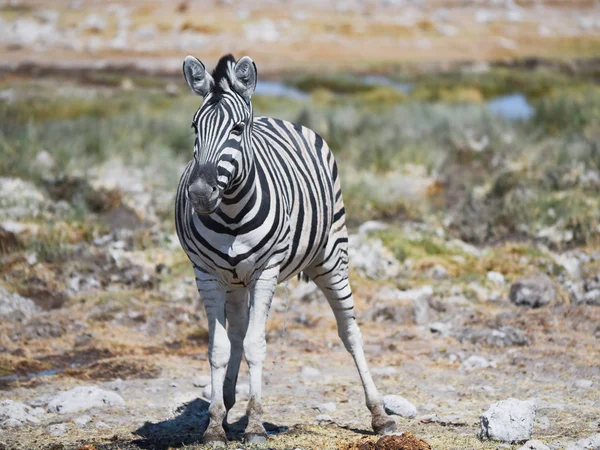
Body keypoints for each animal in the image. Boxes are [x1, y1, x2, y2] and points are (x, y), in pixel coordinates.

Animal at [176, 54, 396, 444]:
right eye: (194, 127)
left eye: (237, 129)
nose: (200, 194)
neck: (231, 213)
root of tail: (275, 118)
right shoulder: (207, 274)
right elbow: (219, 347)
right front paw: (215, 424)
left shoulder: (266, 271)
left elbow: (256, 345)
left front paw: (256, 425)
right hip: (235, 280)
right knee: (237, 332)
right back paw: (228, 401)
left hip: (332, 257)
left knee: (350, 332)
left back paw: (380, 416)